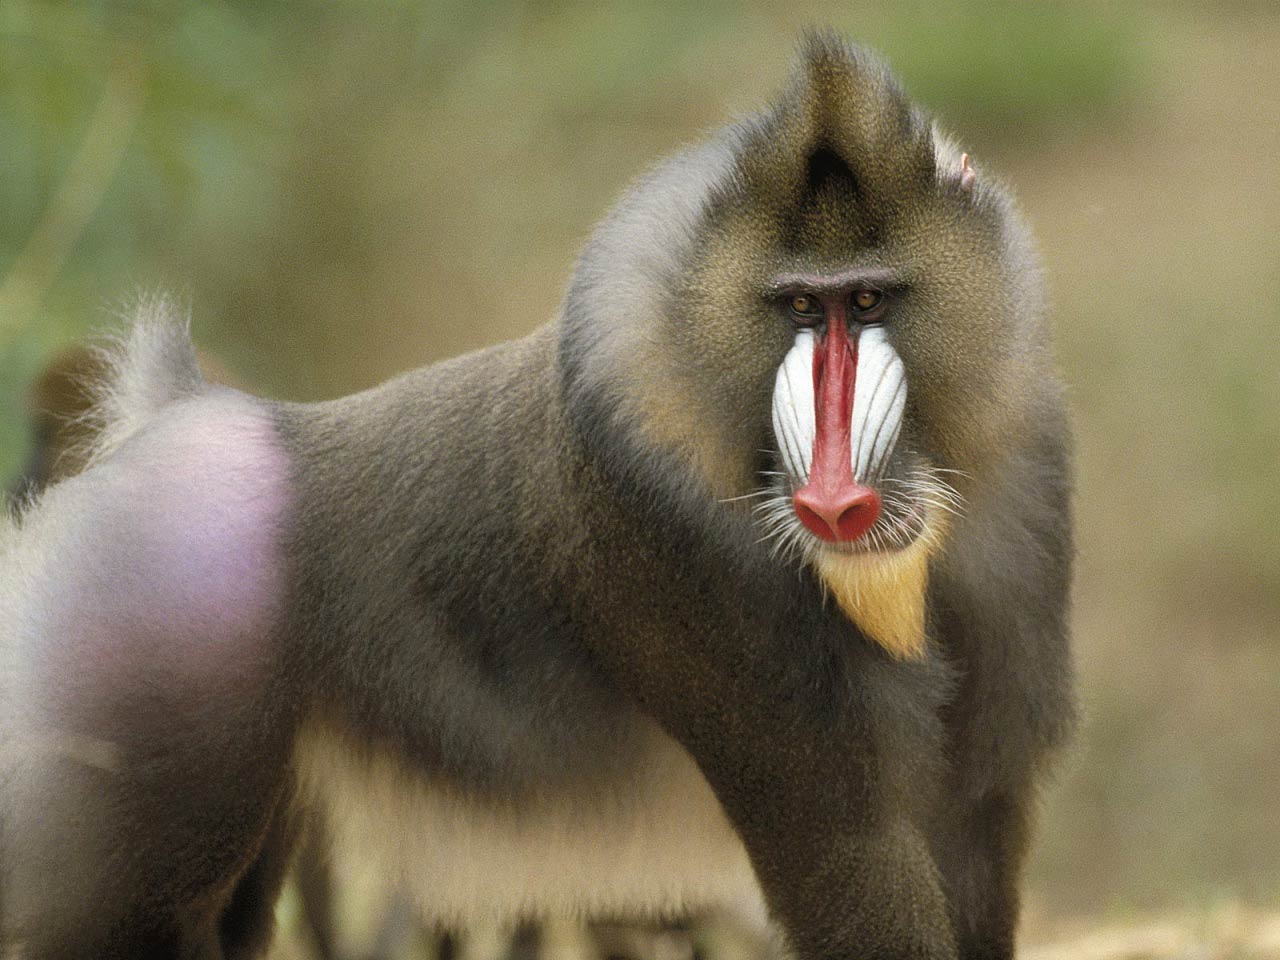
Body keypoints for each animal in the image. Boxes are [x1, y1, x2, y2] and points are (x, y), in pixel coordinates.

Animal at [0, 34, 1074, 960]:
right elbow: (850, 857)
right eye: (802, 307)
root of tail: (178, 421)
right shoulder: (710, 606)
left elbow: (974, 832)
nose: (835, 503)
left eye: (871, 300)